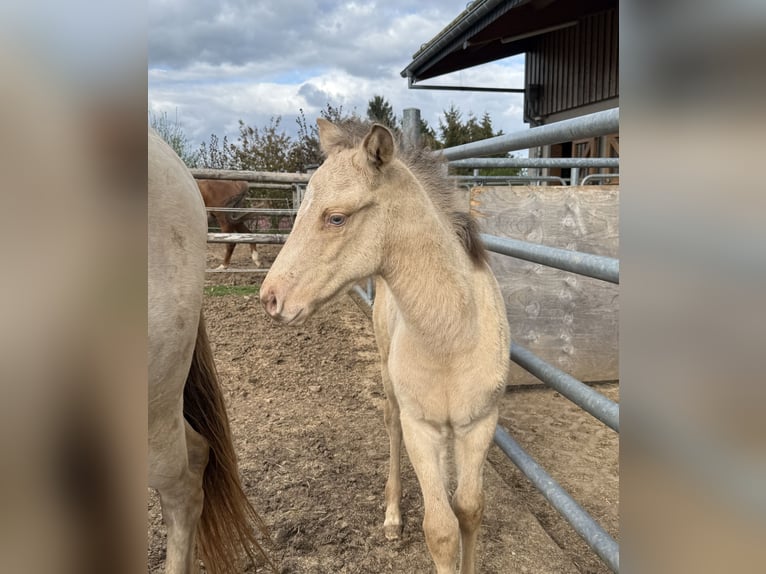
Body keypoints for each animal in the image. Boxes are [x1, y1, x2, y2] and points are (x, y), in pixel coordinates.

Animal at [260, 120, 510, 574]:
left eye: (336, 217)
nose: (269, 298)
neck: (451, 335)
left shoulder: (480, 423)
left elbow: (469, 509)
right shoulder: (420, 427)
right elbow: (440, 530)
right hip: (390, 383)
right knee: (391, 427)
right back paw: (392, 517)